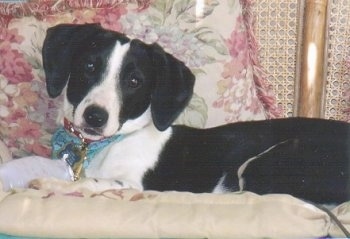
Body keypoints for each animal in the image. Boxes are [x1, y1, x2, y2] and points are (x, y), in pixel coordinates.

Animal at [38, 23, 350, 204]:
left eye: (134, 81)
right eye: (89, 66)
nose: (95, 116)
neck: (109, 145)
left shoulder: (133, 184)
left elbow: (93, 183)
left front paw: (53, 184)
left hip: (261, 164)